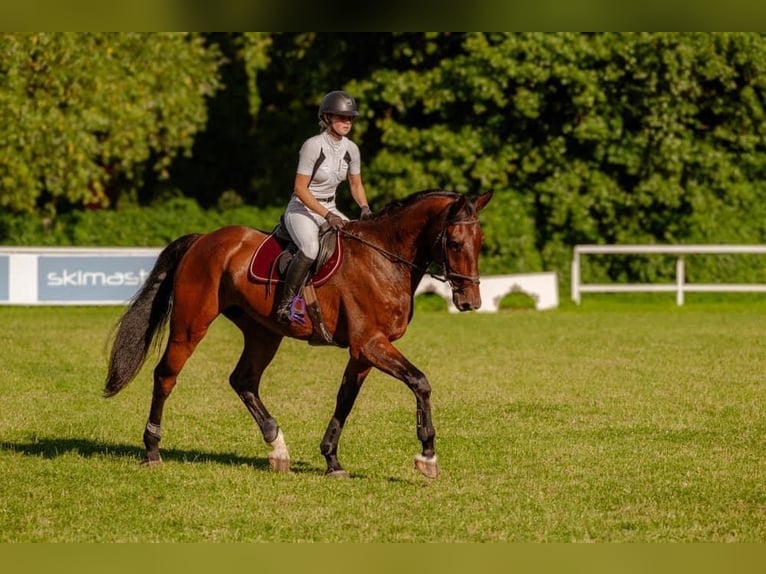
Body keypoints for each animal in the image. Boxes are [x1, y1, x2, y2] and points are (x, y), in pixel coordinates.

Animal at [102, 190, 496, 482]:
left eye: (480, 241)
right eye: (455, 242)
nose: (470, 302)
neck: (386, 259)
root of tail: (203, 240)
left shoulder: (363, 352)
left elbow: (345, 400)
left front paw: (332, 460)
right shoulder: (371, 344)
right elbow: (420, 382)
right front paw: (427, 456)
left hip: (262, 333)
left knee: (243, 380)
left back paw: (277, 447)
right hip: (191, 325)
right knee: (165, 376)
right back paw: (152, 450)